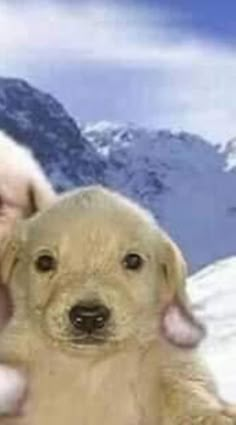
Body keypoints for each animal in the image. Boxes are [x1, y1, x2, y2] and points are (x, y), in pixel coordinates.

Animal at [0, 186, 234, 424]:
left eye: (133, 260)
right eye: (44, 262)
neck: (89, 368)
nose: (89, 316)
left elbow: (184, 386)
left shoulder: (166, 359)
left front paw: (211, 415)